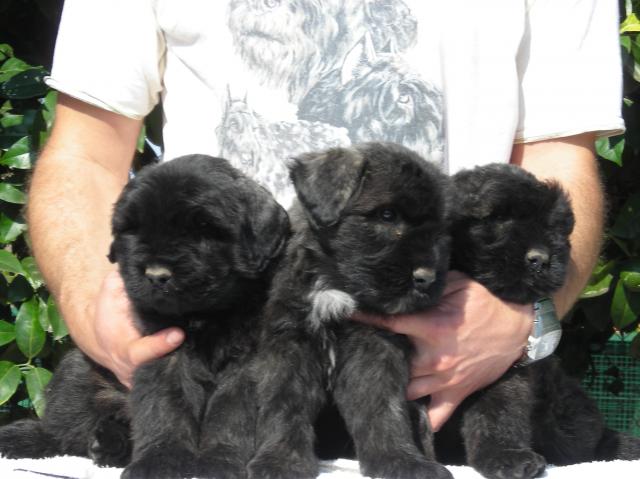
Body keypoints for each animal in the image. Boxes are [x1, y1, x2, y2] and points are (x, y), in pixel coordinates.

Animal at [0, 155, 288, 479]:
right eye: (134, 229)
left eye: (204, 228)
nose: (156, 275)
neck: (204, 315)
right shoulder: (160, 355)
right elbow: (164, 408)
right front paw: (159, 460)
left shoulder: (245, 365)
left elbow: (231, 413)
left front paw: (219, 460)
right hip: (77, 373)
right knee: (62, 429)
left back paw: (109, 443)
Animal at [248, 142, 452, 479]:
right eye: (387, 214)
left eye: (440, 231)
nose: (427, 278)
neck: (335, 285)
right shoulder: (290, 344)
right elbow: (285, 403)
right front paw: (280, 460)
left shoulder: (374, 349)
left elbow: (382, 407)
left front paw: (399, 460)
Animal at [438, 164, 640, 479]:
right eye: (498, 219)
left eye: (554, 227)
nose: (541, 259)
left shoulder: (499, 367)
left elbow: (496, 413)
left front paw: (503, 456)